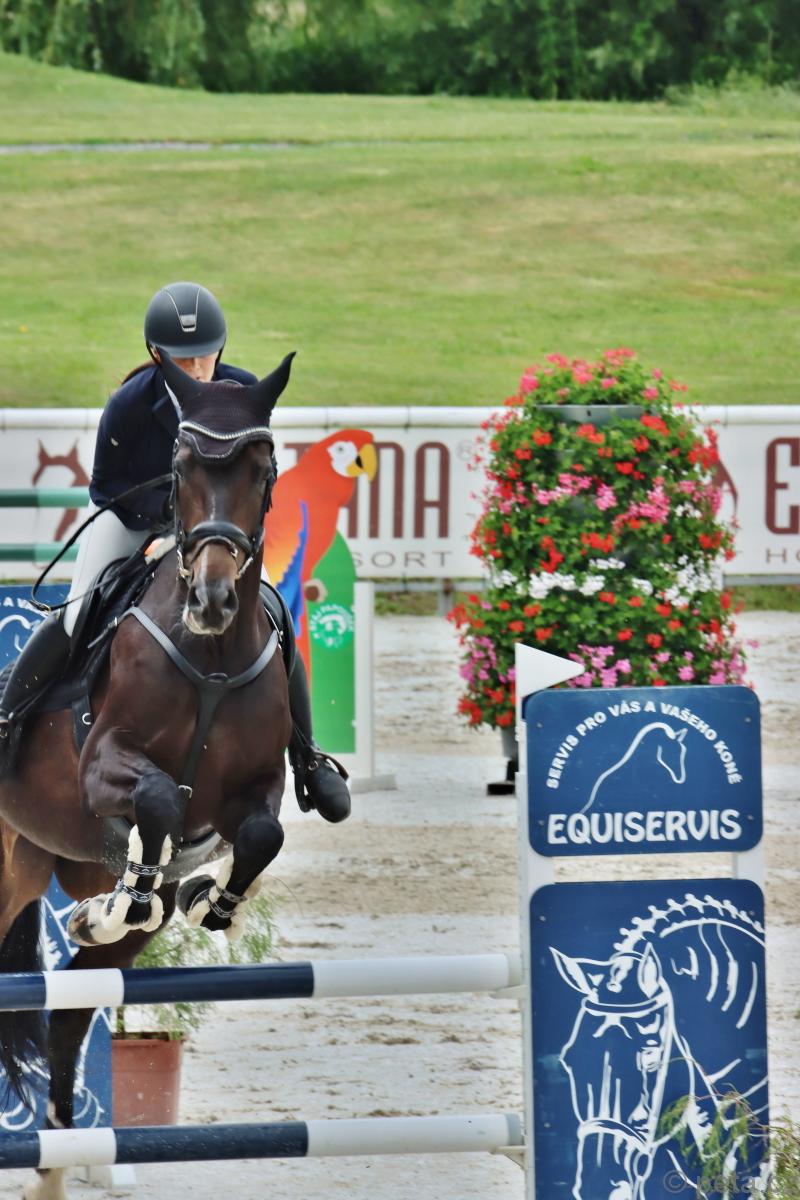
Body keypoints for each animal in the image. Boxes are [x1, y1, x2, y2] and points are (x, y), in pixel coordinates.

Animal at [0, 351, 296, 1200]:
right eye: (183, 466)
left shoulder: (260, 786)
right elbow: (160, 795)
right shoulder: (102, 766)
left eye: (263, 469)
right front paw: (125, 898)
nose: (212, 598)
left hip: (51, 869)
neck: (212, 655)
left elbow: (259, 834)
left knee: (70, 1010)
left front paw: (206, 897)